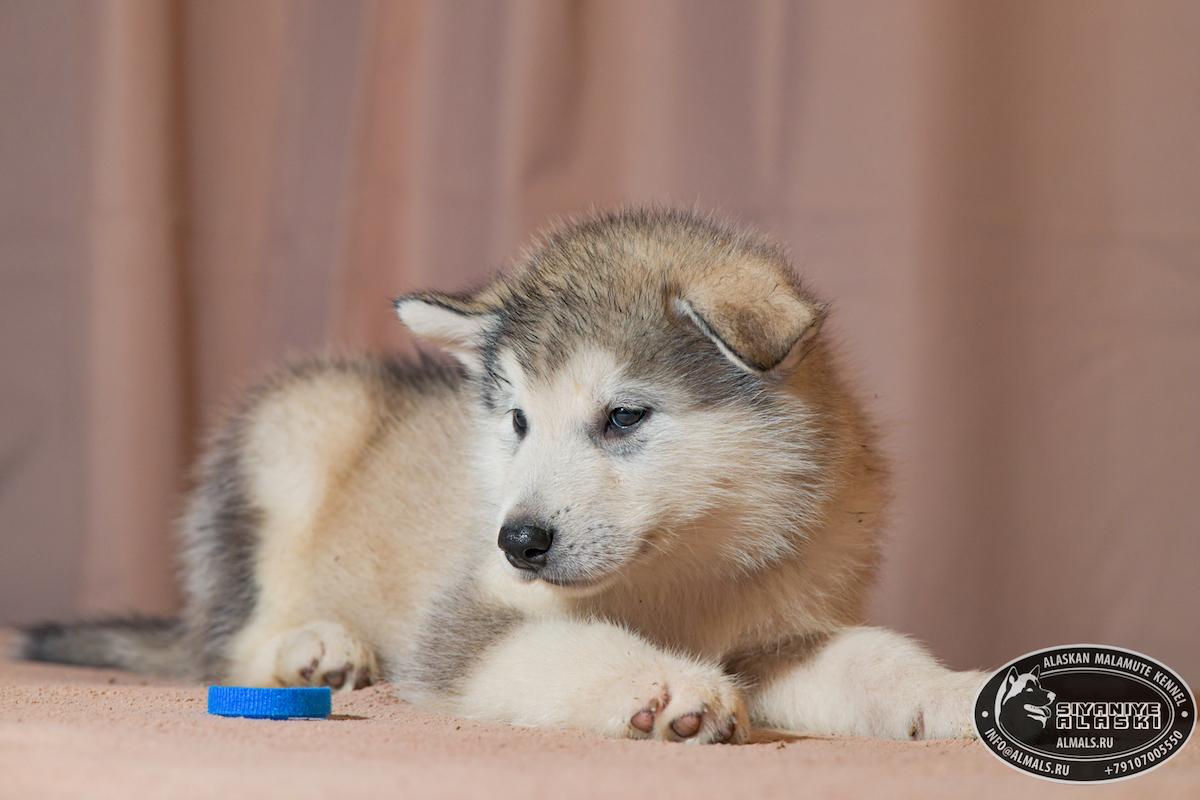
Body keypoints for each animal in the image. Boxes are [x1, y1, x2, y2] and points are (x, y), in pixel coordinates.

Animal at [21, 208, 984, 743]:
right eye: (517, 421)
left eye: (623, 417)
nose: (518, 540)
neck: (681, 574)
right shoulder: (473, 615)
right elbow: (563, 644)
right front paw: (662, 683)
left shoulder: (784, 627)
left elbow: (872, 659)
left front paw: (952, 693)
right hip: (291, 437)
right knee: (230, 640)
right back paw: (316, 650)